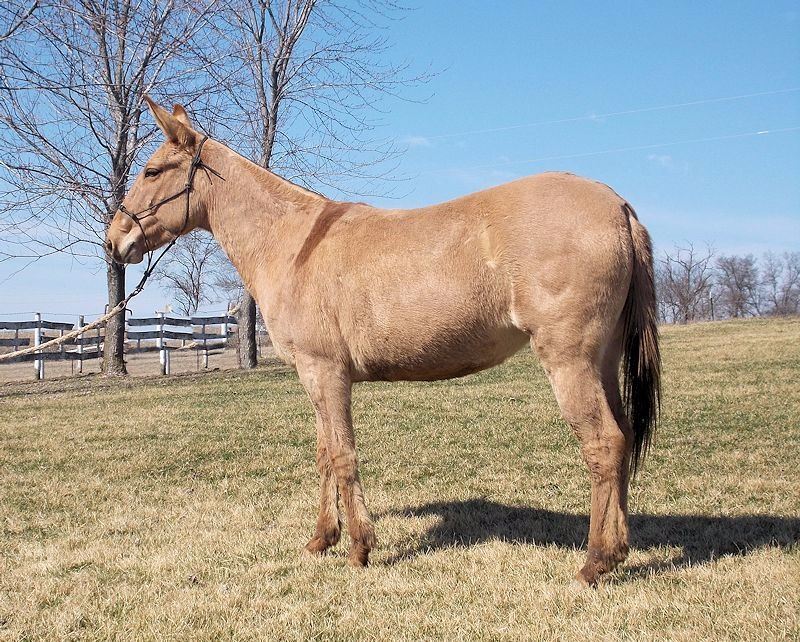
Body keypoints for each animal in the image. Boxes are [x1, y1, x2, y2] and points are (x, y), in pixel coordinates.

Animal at [106, 97, 660, 587]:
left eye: (152, 171)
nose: (115, 241)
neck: (295, 244)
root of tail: (618, 206)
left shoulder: (325, 372)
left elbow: (343, 455)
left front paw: (359, 548)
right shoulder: (315, 378)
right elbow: (325, 454)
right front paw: (321, 539)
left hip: (569, 361)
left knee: (603, 444)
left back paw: (594, 563)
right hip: (601, 359)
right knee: (622, 436)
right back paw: (619, 552)